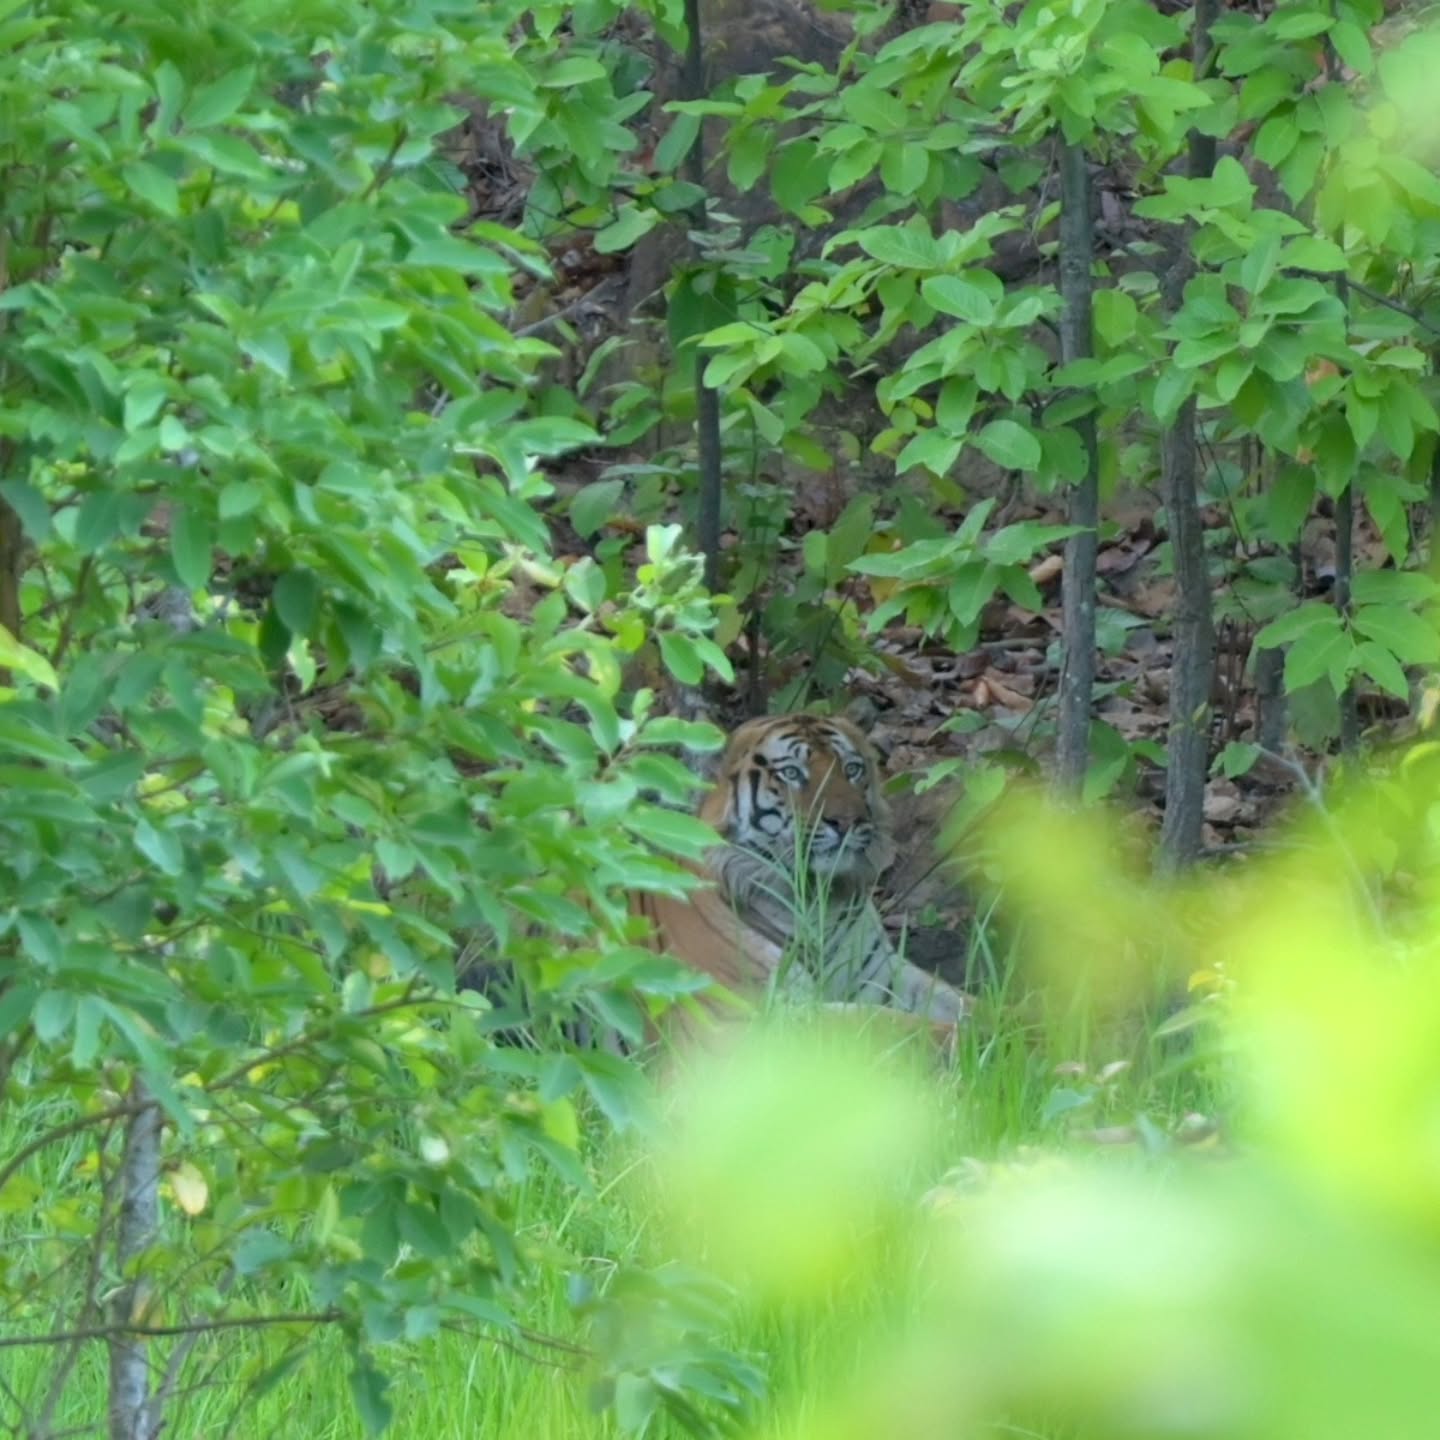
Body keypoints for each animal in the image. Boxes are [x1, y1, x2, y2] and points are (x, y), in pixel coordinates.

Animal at [631, 713, 972, 1054]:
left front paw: (982, 1018)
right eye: (792, 773)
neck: (818, 899)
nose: (847, 821)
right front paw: (968, 1039)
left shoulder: (881, 972)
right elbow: (882, 1024)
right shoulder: (745, 1021)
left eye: (852, 769)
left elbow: (954, 1000)